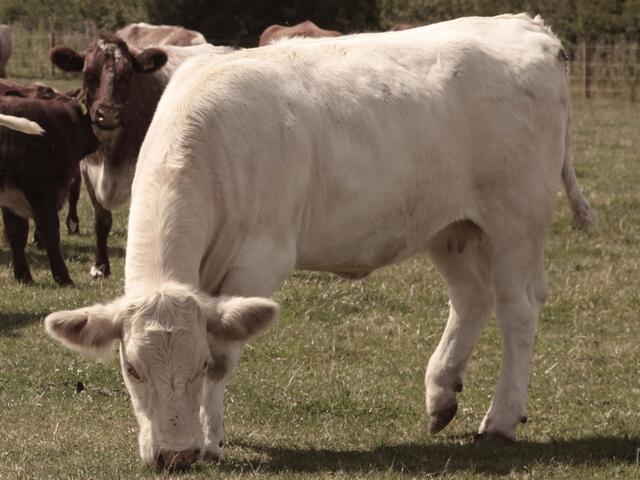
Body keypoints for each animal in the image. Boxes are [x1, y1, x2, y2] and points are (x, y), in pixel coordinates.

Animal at [0, 81, 98, 285]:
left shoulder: (11, 199)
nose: (96, 140)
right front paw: (63, 277)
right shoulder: (43, 194)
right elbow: (50, 232)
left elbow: (16, 233)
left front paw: (23, 276)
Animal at [50, 33, 232, 278]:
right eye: (88, 74)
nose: (108, 115)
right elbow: (101, 219)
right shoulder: (88, 169)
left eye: (128, 75)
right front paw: (100, 266)